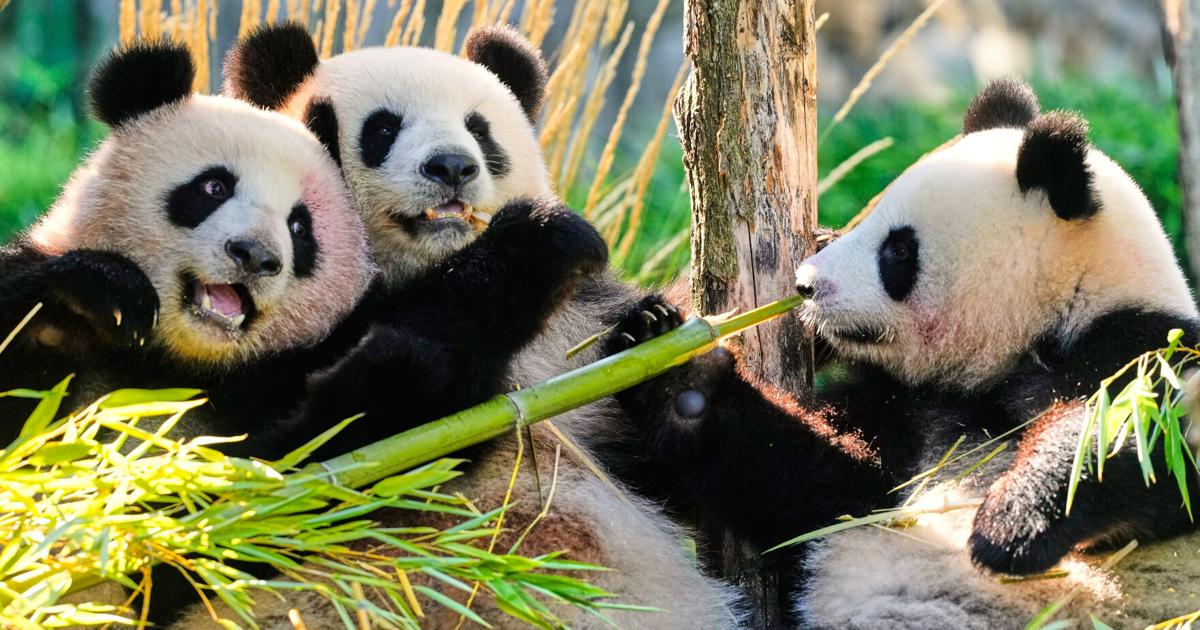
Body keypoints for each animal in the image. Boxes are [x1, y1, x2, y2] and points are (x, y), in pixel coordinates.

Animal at [604, 78, 1200, 628]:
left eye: (897, 250)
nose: (804, 285)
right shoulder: (896, 412)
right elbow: (812, 489)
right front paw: (668, 361)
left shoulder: (1137, 341)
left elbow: (1149, 442)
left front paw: (1013, 522)